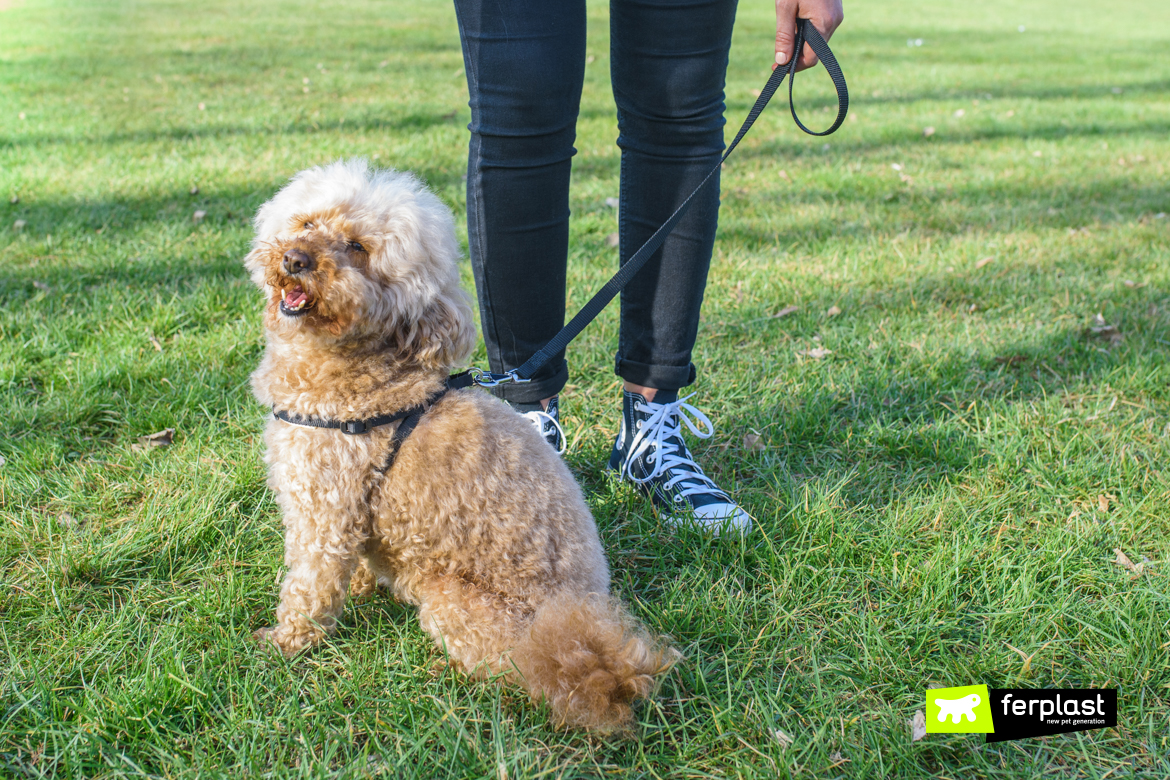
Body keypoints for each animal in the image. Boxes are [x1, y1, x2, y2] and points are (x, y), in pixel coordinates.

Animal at [242, 159, 673, 734]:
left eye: (357, 247)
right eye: (308, 223)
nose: (295, 258)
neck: (365, 375)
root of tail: (582, 628)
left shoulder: (325, 511)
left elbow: (310, 587)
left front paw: (285, 643)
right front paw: (360, 589)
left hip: (454, 600)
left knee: (516, 667)